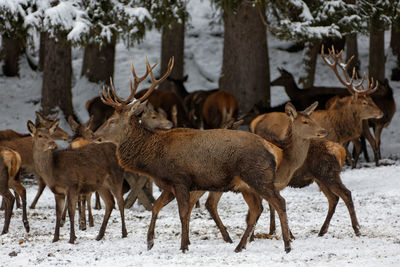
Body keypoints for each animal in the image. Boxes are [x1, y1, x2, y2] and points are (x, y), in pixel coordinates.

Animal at [95, 57, 294, 254]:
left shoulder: (180, 180)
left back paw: (287, 244)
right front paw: (150, 241)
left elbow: (183, 213)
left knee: (280, 202)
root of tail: (273, 150)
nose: (95, 136)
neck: (154, 161)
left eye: (112, 121)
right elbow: (155, 207)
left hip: (259, 177)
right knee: (256, 209)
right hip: (246, 185)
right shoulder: (169, 185)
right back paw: (240, 246)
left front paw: (183, 246)